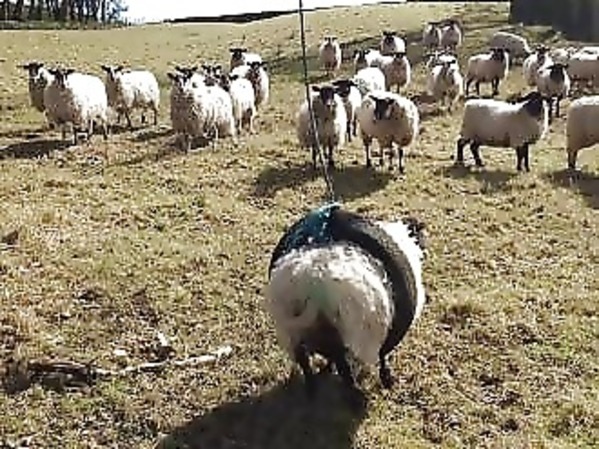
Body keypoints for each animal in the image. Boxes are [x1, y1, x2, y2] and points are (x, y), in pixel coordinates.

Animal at [265, 203, 427, 397]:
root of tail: (314, 282)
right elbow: (383, 356)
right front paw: (387, 379)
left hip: (293, 332)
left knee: (306, 364)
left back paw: (312, 391)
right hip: (350, 334)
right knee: (344, 369)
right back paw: (355, 396)